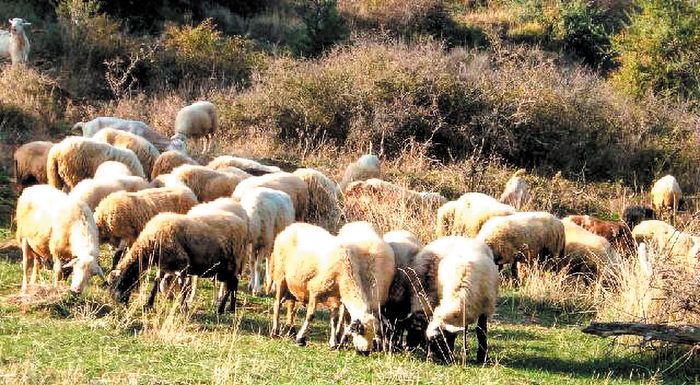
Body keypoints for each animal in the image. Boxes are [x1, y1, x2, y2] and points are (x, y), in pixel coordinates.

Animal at [110, 207, 247, 312]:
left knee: (231, 284)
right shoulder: (163, 264)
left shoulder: (183, 264)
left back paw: (221, 309)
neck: (151, 242)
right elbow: (156, 283)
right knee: (234, 283)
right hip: (226, 267)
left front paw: (183, 308)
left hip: (231, 264)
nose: (119, 301)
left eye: (121, 282)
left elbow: (183, 287)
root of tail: (242, 225)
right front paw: (148, 304)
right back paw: (231, 308)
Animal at [266, 222, 380, 354]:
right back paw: (275, 332)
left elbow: (334, 320)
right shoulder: (314, 290)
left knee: (291, 305)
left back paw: (291, 332)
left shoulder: (335, 298)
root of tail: (287, 229)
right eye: (361, 331)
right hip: (280, 276)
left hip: (293, 284)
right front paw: (301, 339)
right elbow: (310, 315)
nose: (365, 352)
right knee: (277, 304)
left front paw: (333, 343)